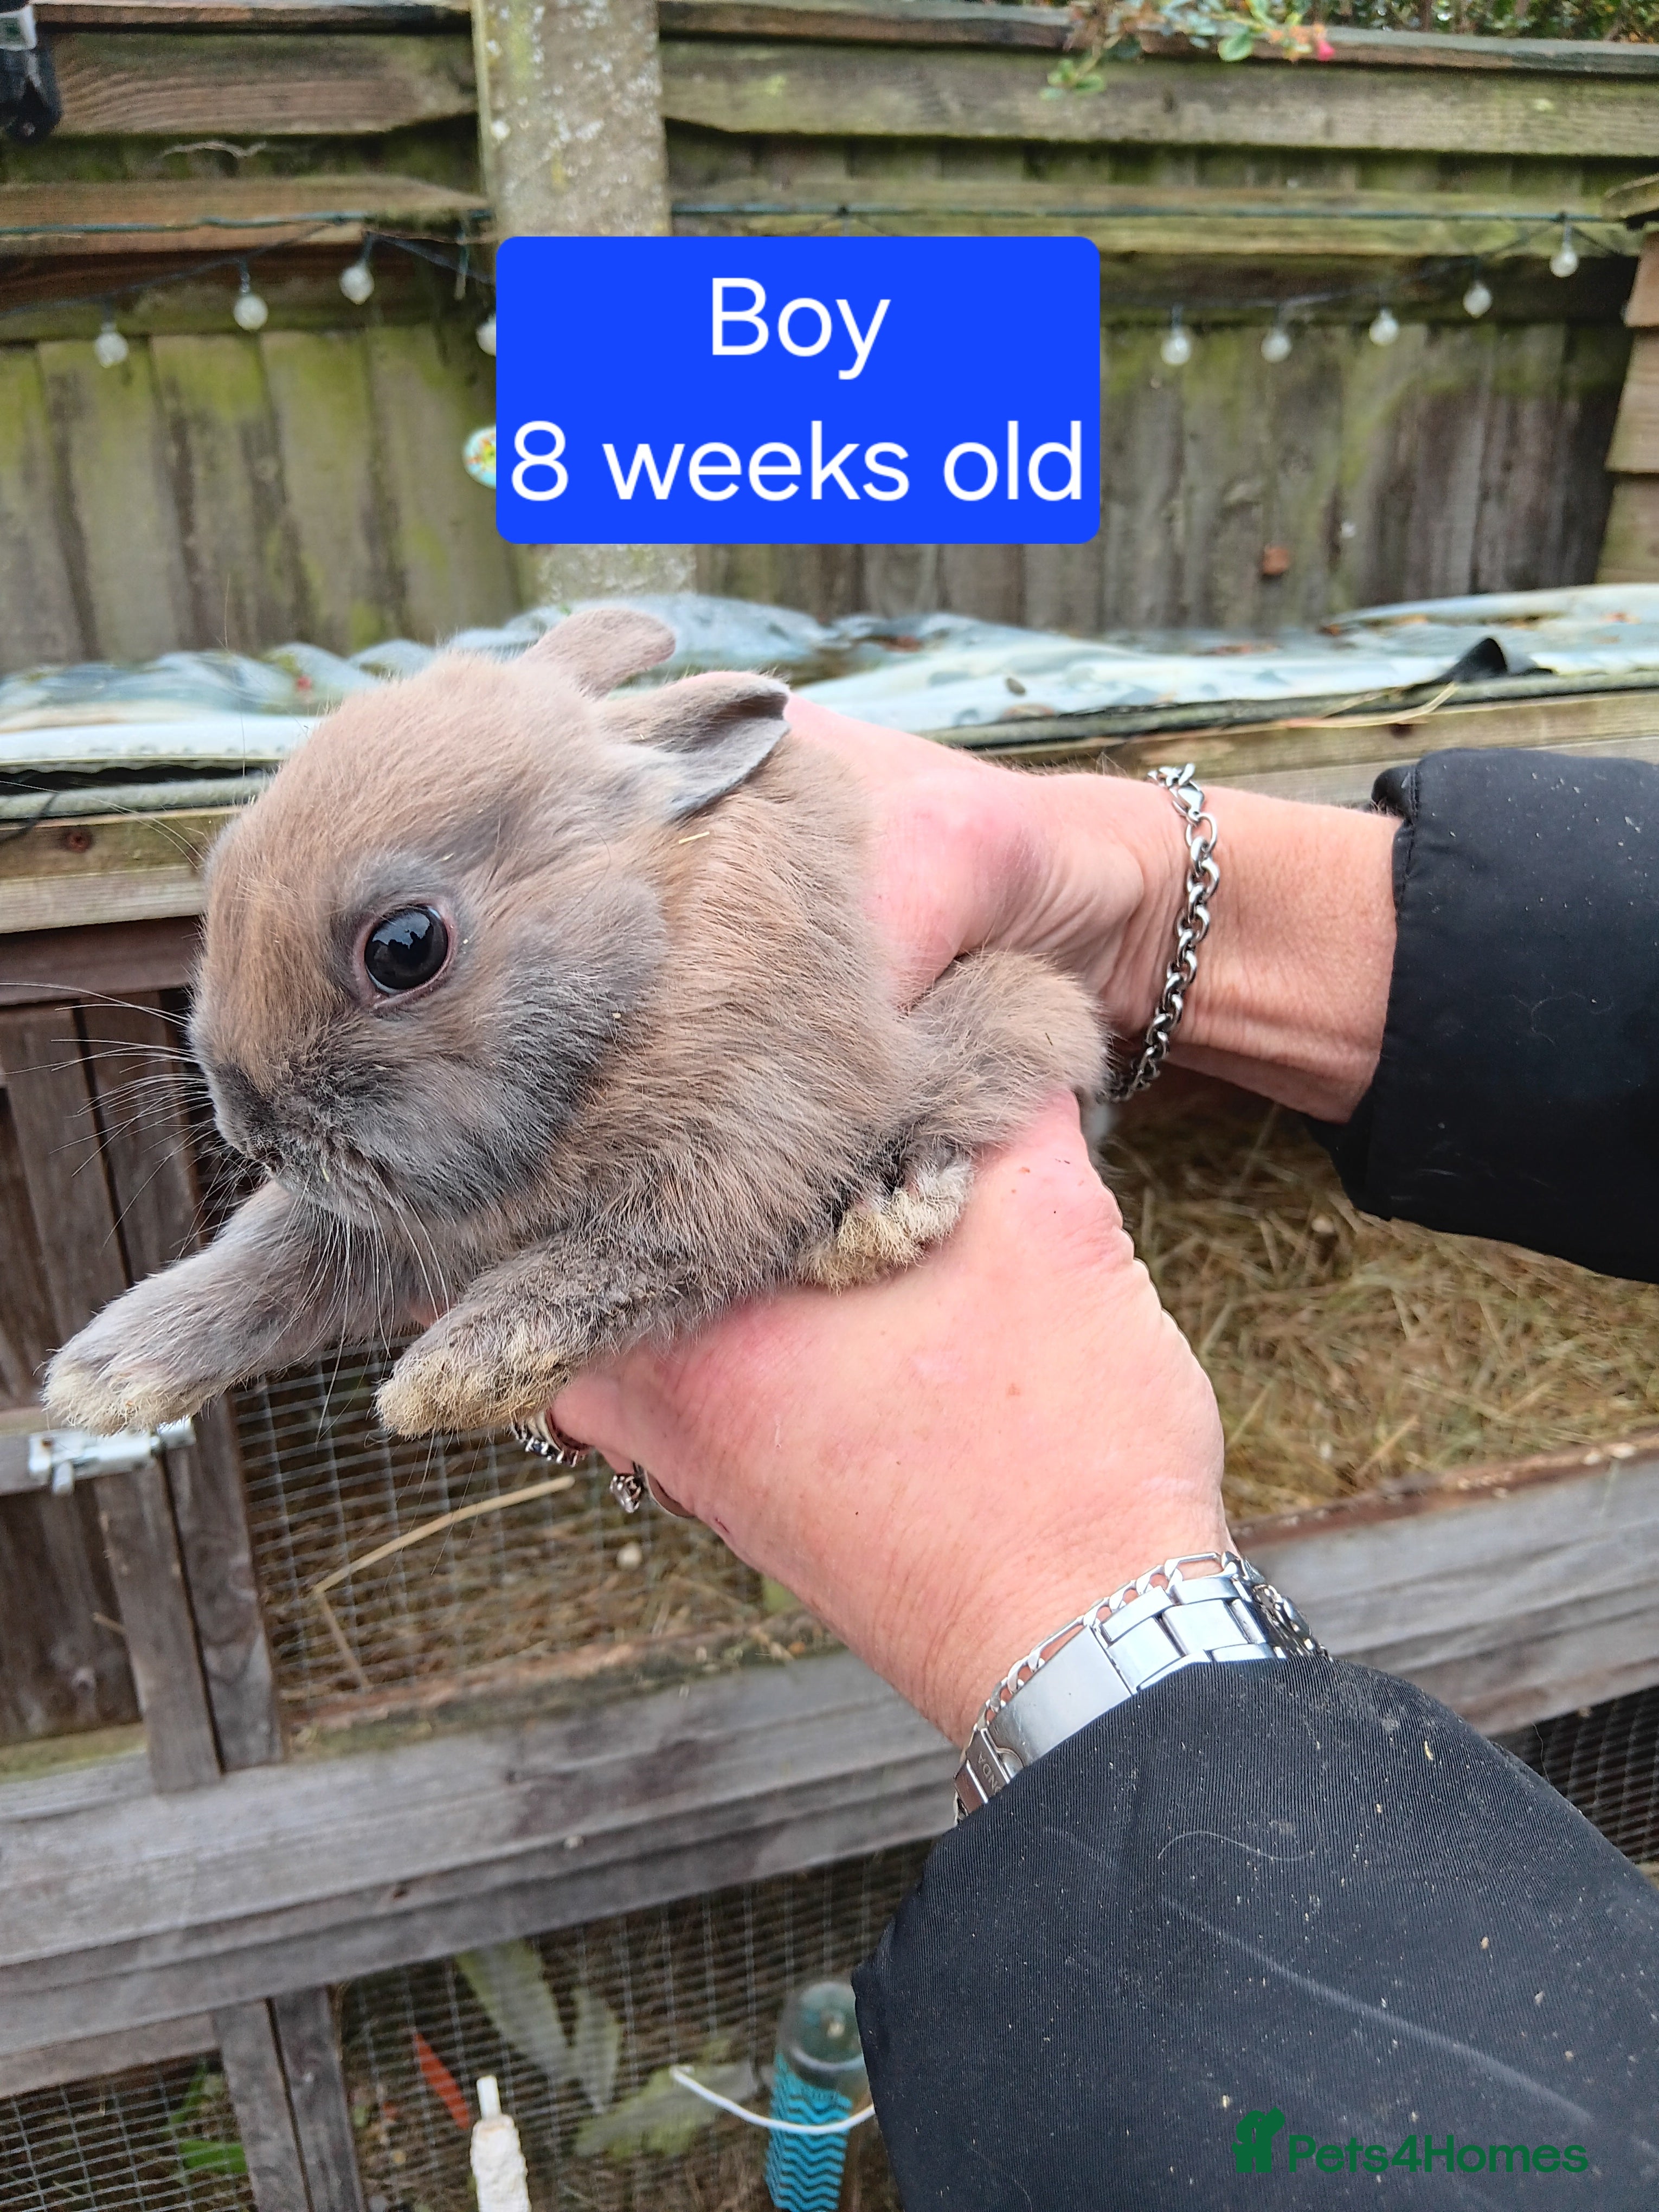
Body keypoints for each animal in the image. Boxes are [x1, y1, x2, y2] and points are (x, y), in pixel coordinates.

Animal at [44, 607, 1105, 1442]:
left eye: (406, 948)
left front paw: (455, 1379)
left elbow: (610, 1261)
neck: (650, 972)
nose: (249, 1131)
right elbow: (273, 1253)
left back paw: (884, 1209)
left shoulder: (744, 1149)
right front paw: (107, 1377)